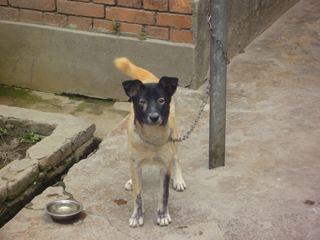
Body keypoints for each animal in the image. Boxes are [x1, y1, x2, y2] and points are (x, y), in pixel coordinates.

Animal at [114, 57, 186, 227]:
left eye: (161, 100)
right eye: (142, 102)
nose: (154, 117)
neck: (152, 137)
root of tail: (149, 79)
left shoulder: (165, 167)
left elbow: (164, 195)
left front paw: (162, 215)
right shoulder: (135, 163)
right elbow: (138, 195)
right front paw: (137, 216)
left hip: (174, 135)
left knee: (176, 158)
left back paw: (178, 179)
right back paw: (131, 181)